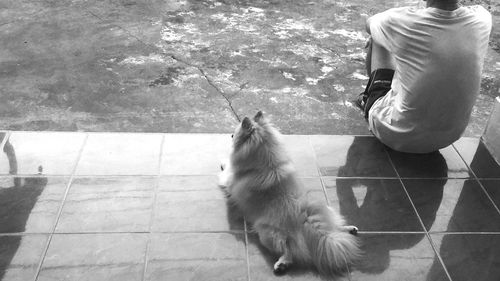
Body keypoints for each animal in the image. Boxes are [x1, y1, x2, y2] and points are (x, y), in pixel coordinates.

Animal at [219, 111, 360, 276]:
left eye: (235, 134)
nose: (230, 135)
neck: (268, 163)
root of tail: (302, 217)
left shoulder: (229, 179)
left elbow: (226, 171)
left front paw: (224, 162)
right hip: (327, 211)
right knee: (333, 226)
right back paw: (348, 229)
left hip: (266, 233)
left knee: (288, 250)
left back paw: (282, 264)